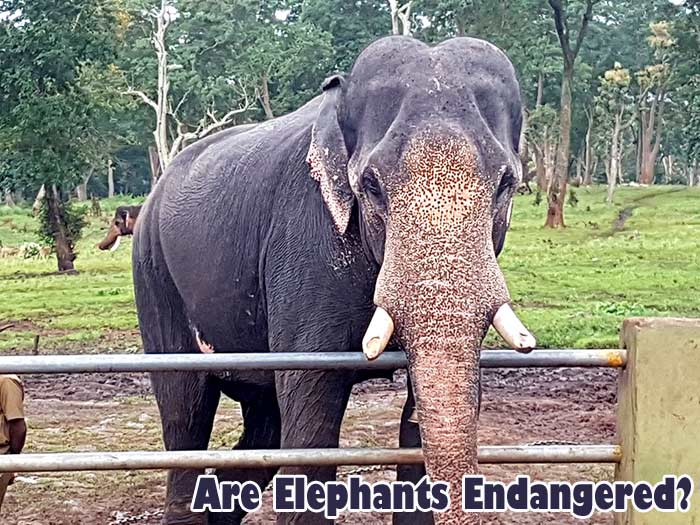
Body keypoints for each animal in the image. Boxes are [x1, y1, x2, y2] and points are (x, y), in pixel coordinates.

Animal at [133, 36, 535, 525]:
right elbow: (312, 421)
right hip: (153, 273)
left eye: (506, 184)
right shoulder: (304, 242)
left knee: (263, 429)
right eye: (372, 186)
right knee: (186, 413)